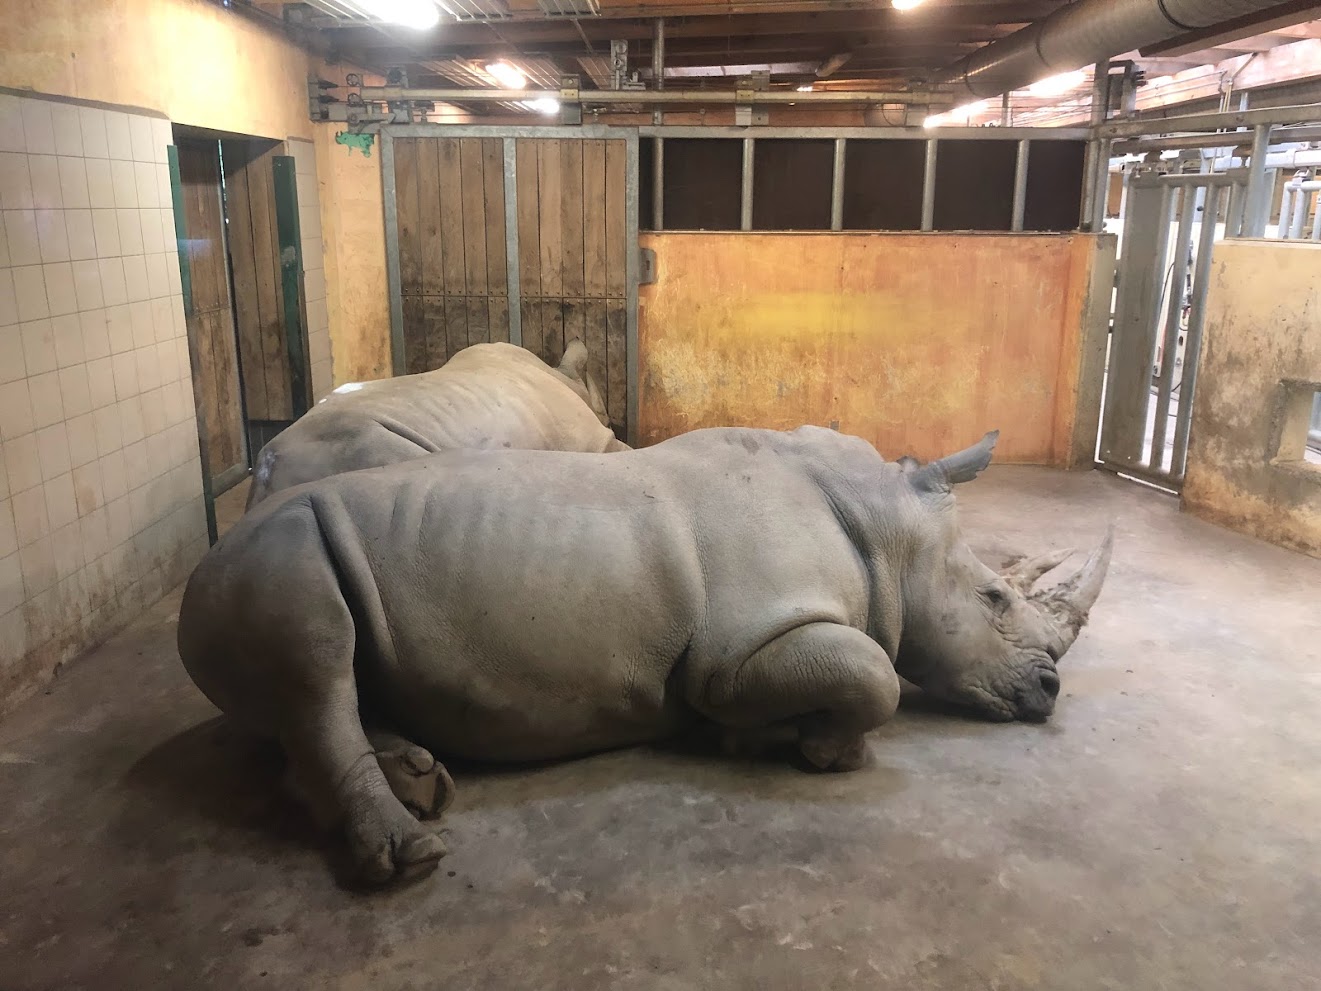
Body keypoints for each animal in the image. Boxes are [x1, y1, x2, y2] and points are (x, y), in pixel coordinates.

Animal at [178, 425, 1112, 886]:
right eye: (993, 599)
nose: (1048, 689)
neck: (882, 526)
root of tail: (194, 577)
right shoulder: (735, 650)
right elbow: (873, 674)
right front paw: (814, 749)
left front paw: (753, 737)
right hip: (274, 553)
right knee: (317, 662)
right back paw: (409, 855)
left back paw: (418, 779)